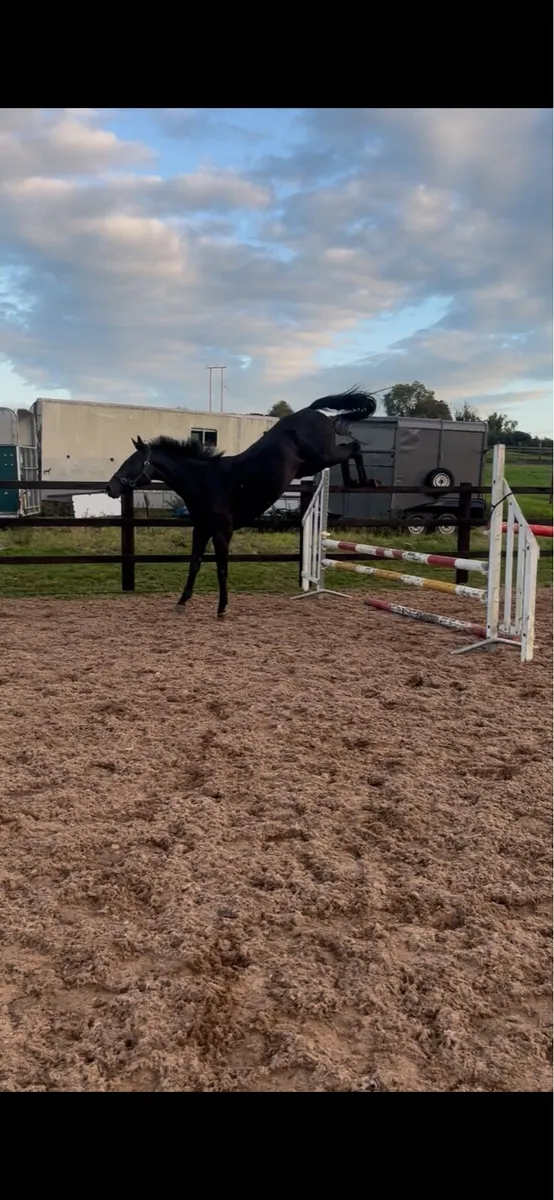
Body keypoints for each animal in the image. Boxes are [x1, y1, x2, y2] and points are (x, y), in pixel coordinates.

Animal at [106, 387, 378, 618]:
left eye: (132, 463)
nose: (110, 488)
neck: (205, 481)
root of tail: (311, 410)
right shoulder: (201, 530)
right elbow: (194, 565)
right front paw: (182, 602)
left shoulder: (221, 533)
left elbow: (222, 569)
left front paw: (222, 608)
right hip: (312, 464)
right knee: (348, 451)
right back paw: (354, 482)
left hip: (321, 456)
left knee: (353, 448)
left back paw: (367, 481)